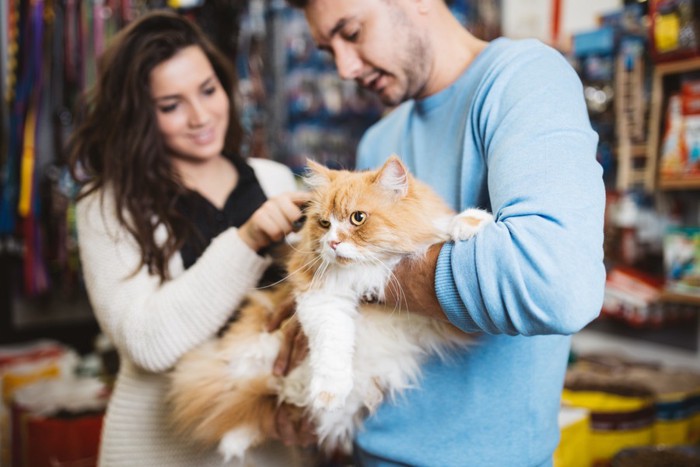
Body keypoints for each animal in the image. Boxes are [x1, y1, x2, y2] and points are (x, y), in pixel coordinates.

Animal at [167, 156, 492, 460]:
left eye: (358, 218)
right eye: (324, 223)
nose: (333, 243)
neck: (365, 272)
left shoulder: (446, 311)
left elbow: (440, 228)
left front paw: (471, 222)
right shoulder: (320, 297)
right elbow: (332, 345)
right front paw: (329, 392)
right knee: (238, 396)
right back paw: (235, 442)